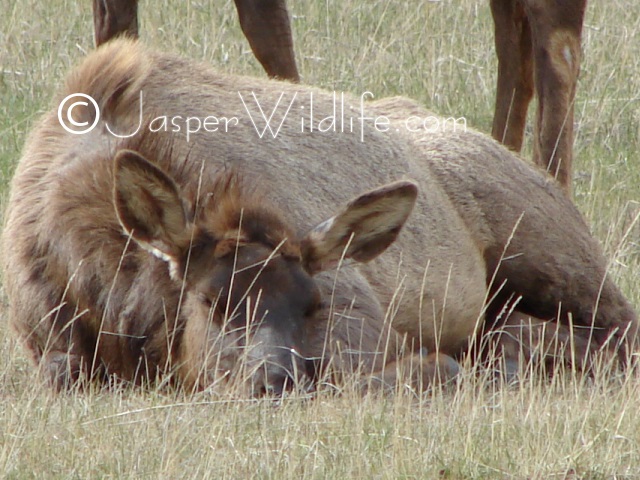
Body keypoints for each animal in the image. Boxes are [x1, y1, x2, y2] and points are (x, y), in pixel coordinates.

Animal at [2, 38, 634, 396]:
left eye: (313, 303)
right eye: (209, 301)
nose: (273, 381)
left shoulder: (358, 307)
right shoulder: (46, 338)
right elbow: (63, 374)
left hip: (547, 247)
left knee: (617, 330)